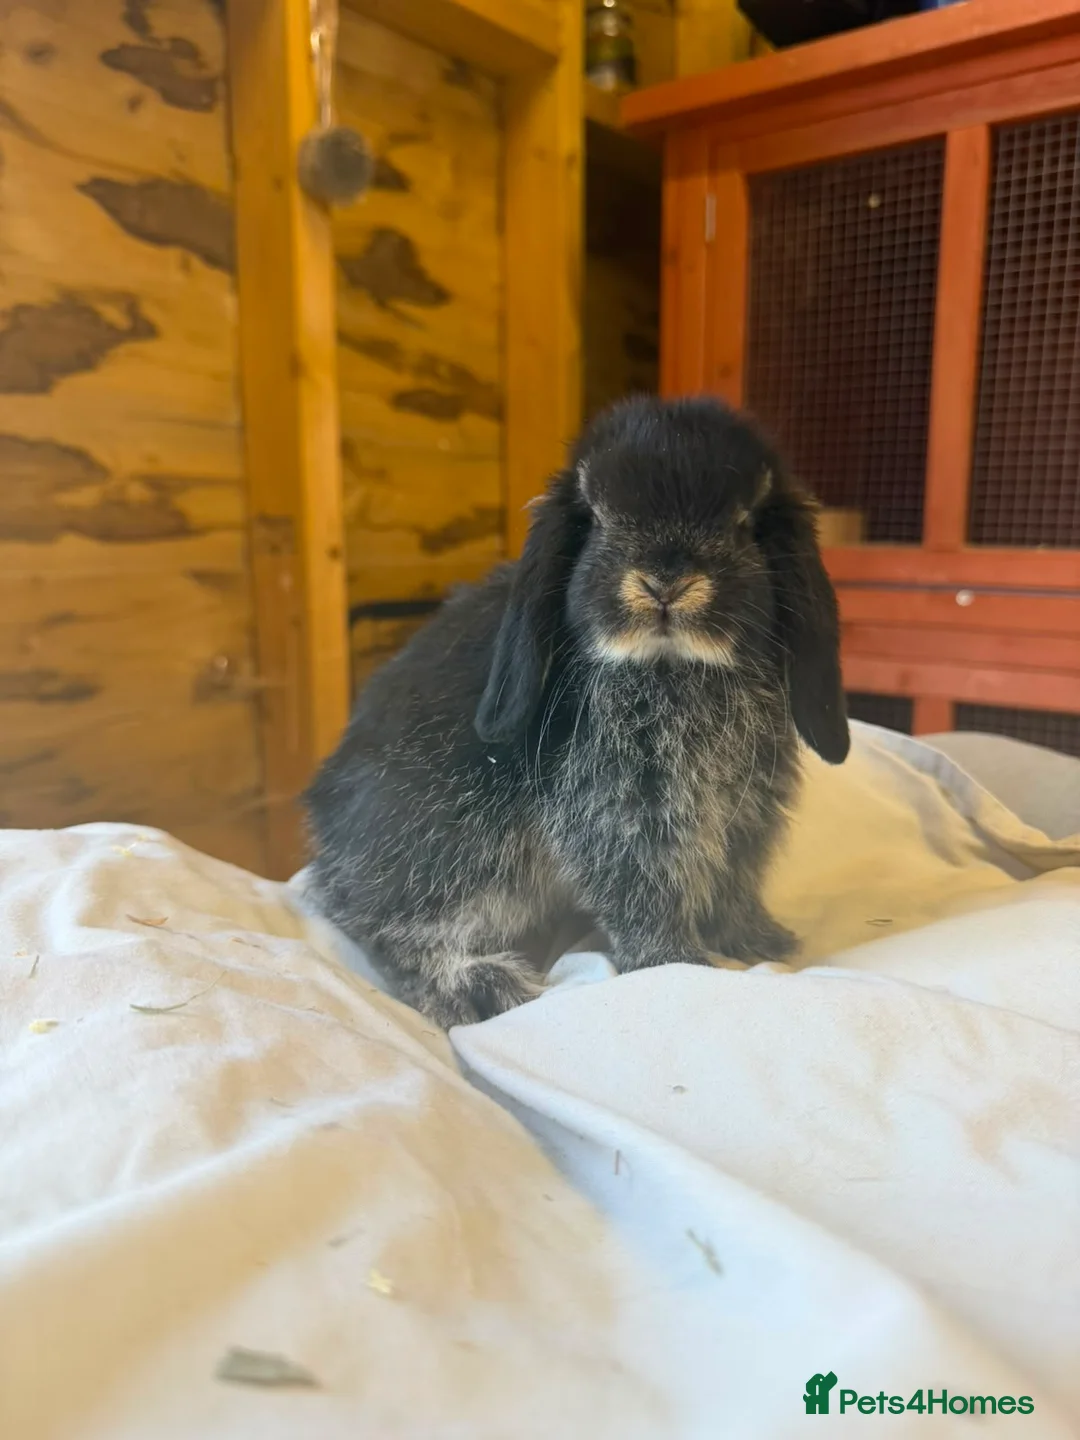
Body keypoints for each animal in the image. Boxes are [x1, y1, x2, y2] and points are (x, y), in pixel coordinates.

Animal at [305, 394, 849, 1028]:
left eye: (746, 522)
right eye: (595, 517)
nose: (664, 583)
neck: (671, 666)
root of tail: (325, 826)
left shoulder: (744, 815)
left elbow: (730, 880)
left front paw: (759, 940)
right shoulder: (623, 810)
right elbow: (642, 891)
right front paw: (678, 964)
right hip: (451, 853)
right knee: (392, 929)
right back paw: (480, 986)